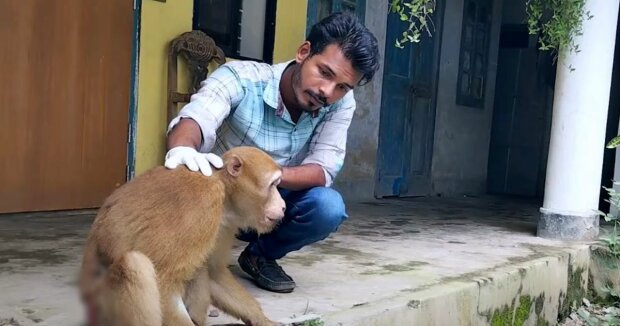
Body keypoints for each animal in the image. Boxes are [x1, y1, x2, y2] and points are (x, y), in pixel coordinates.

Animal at [78, 146, 288, 324]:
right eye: (273, 185)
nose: (284, 206)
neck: (223, 188)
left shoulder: (225, 224)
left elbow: (214, 273)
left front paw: (263, 321)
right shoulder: (203, 204)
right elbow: (164, 278)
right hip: (102, 306)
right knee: (135, 264)